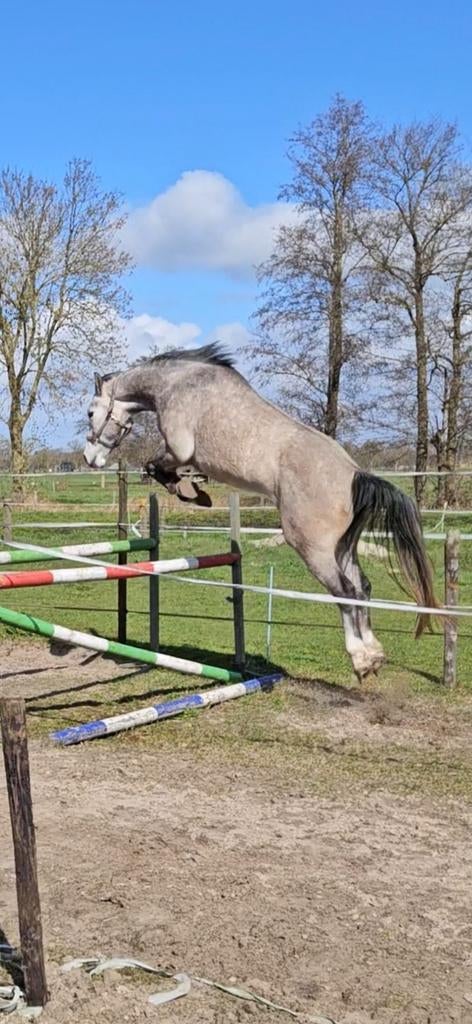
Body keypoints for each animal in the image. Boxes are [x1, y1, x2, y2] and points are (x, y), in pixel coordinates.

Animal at [83, 343, 438, 679]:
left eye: (89, 413)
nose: (90, 458)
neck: (176, 383)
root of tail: (355, 474)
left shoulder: (179, 450)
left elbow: (155, 466)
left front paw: (191, 493)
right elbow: (162, 469)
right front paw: (195, 493)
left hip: (313, 547)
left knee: (345, 591)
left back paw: (361, 659)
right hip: (343, 547)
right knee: (362, 587)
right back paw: (375, 655)